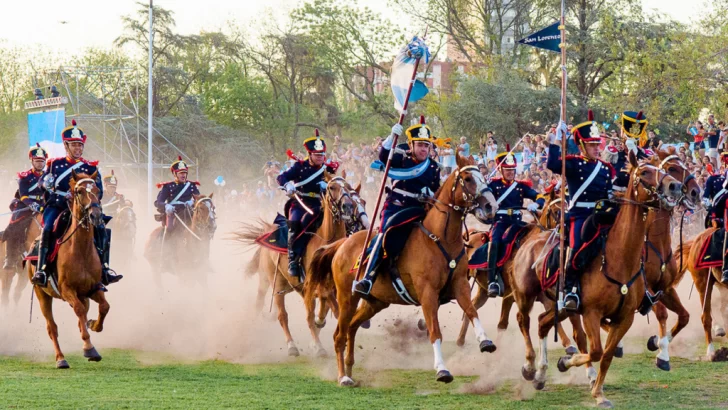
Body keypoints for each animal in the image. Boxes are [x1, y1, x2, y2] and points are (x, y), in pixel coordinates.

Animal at [27, 171, 110, 370]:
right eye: (79, 191)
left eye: (97, 190)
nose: (96, 216)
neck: (81, 250)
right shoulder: (66, 290)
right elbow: (79, 311)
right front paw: (89, 348)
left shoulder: (94, 288)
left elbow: (104, 307)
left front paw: (93, 325)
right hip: (42, 295)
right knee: (52, 327)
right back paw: (61, 359)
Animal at [233, 175, 362, 358]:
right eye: (332, 187)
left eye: (349, 186)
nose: (348, 207)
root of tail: (267, 231)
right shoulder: (319, 287)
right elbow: (326, 311)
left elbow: (323, 312)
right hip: (274, 283)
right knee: (280, 314)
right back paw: (291, 345)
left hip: (295, 287)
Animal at [304, 155, 498, 386]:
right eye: (468, 178)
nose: (491, 207)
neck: (440, 238)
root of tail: (342, 244)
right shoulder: (428, 294)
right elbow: (435, 331)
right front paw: (442, 369)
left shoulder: (460, 286)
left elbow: (471, 311)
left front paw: (485, 341)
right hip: (346, 298)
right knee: (339, 335)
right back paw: (343, 377)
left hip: (375, 302)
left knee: (351, 327)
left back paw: (350, 370)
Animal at [456, 184, 580, 354]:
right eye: (556, 211)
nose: (568, 235)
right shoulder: (516, 293)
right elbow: (505, 322)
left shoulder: (540, 294)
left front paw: (569, 345)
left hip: (483, 290)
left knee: (472, 306)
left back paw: (462, 341)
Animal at [528, 153, 684, 406]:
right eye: (644, 172)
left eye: (663, 170)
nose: (676, 186)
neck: (619, 258)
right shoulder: (591, 313)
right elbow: (596, 350)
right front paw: (568, 365)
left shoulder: (626, 317)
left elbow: (607, 354)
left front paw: (598, 391)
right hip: (562, 304)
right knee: (553, 327)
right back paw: (541, 370)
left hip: (561, 308)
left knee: (543, 322)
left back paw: (540, 375)